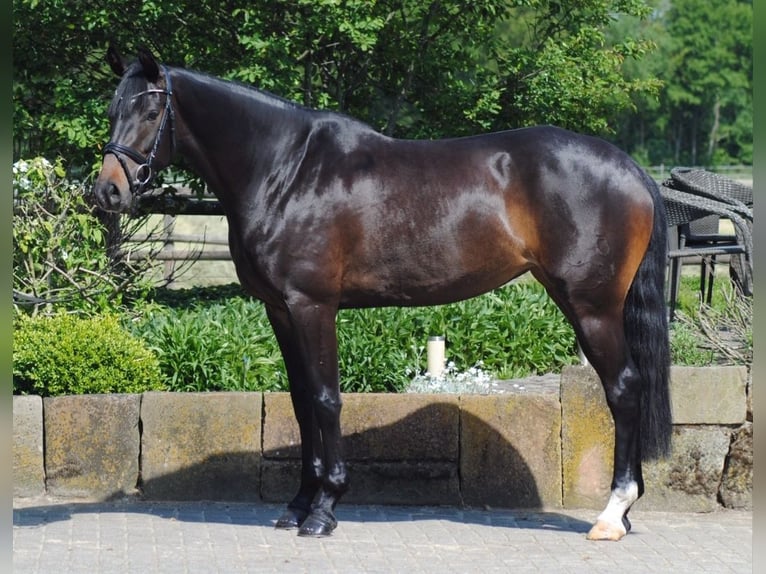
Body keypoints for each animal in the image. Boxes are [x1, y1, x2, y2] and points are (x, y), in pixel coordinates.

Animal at [93, 46, 671, 541]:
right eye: (113, 107)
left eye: (151, 110)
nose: (107, 191)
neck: (286, 171)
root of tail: (631, 169)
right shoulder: (280, 310)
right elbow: (301, 402)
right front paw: (298, 505)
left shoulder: (312, 306)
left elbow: (325, 399)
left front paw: (324, 510)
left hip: (592, 308)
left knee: (624, 389)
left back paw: (612, 514)